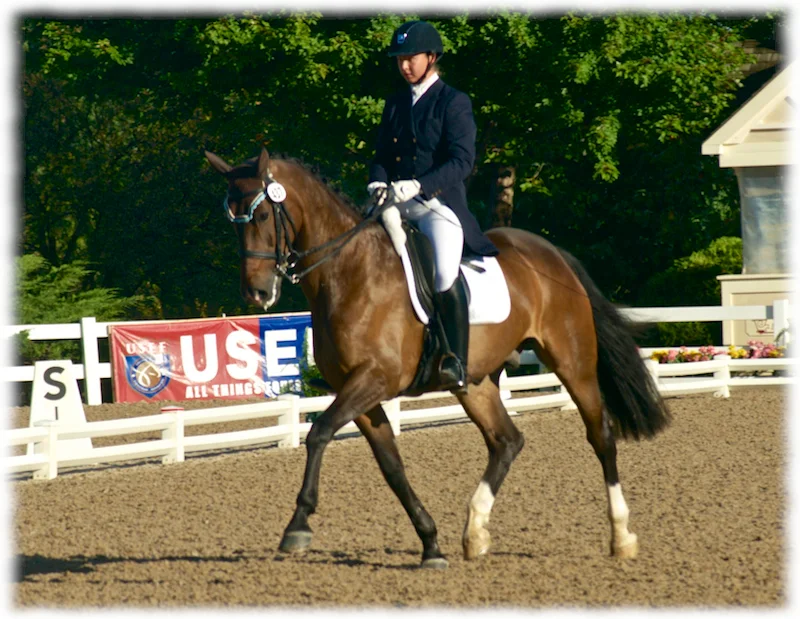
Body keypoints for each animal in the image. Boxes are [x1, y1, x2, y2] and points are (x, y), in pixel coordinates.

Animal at [204, 147, 670, 569]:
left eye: (262, 217)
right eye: (232, 222)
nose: (257, 293)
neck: (349, 271)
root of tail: (553, 254)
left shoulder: (373, 379)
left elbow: (318, 433)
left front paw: (298, 526)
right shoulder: (360, 392)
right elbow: (391, 466)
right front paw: (430, 544)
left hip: (572, 362)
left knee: (600, 436)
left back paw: (621, 537)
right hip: (476, 383)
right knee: (506, 441)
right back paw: (475, 533)